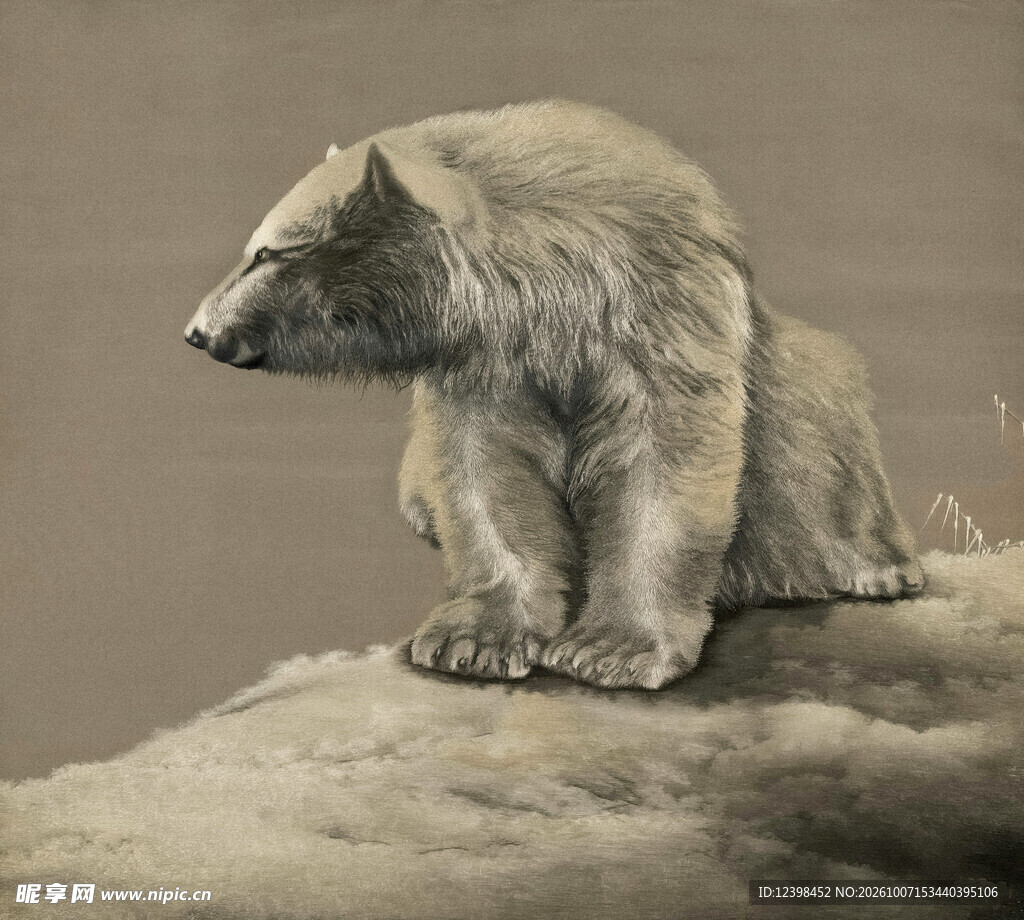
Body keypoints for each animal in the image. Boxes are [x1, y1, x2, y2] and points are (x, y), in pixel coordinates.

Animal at [185, 100, 923, 690]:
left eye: (270, 253)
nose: (197, 331)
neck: (551, 293)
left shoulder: (661, 316)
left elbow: (664, 462)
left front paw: (614, 650)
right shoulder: (489, 367)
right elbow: (485, 474)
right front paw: (472, 640)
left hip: (821, 399)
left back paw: (878, 568)